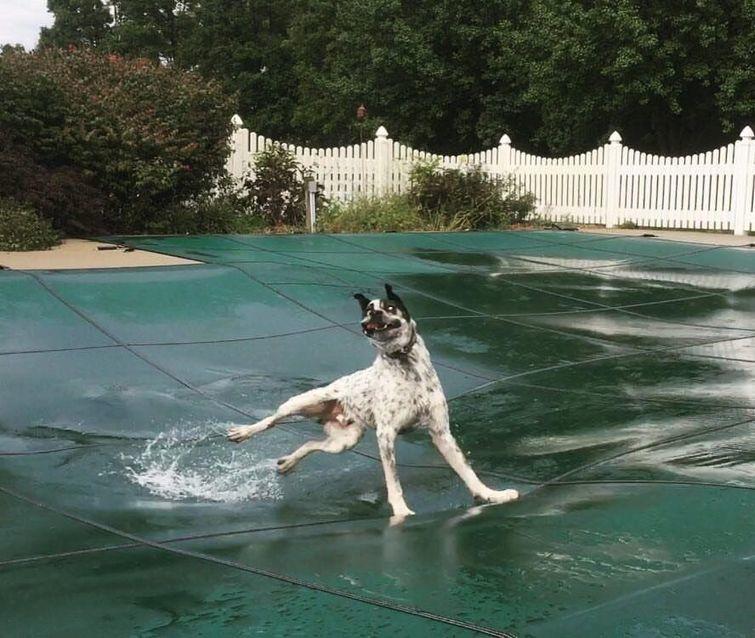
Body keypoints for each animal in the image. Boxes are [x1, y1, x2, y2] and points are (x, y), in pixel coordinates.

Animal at [226, 284, 520, 520]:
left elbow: (468, 472)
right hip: (302, 402)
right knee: (271, 420)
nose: (373, 316)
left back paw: (288, 463)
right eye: (368, 310)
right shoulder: (386, 435)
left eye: (390, 307)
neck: (405, 366)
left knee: (311, 444)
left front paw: (491, 495)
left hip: (345, 440)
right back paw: (243, 432)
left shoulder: (441, 434)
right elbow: (394, 481)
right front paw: (401, 511)